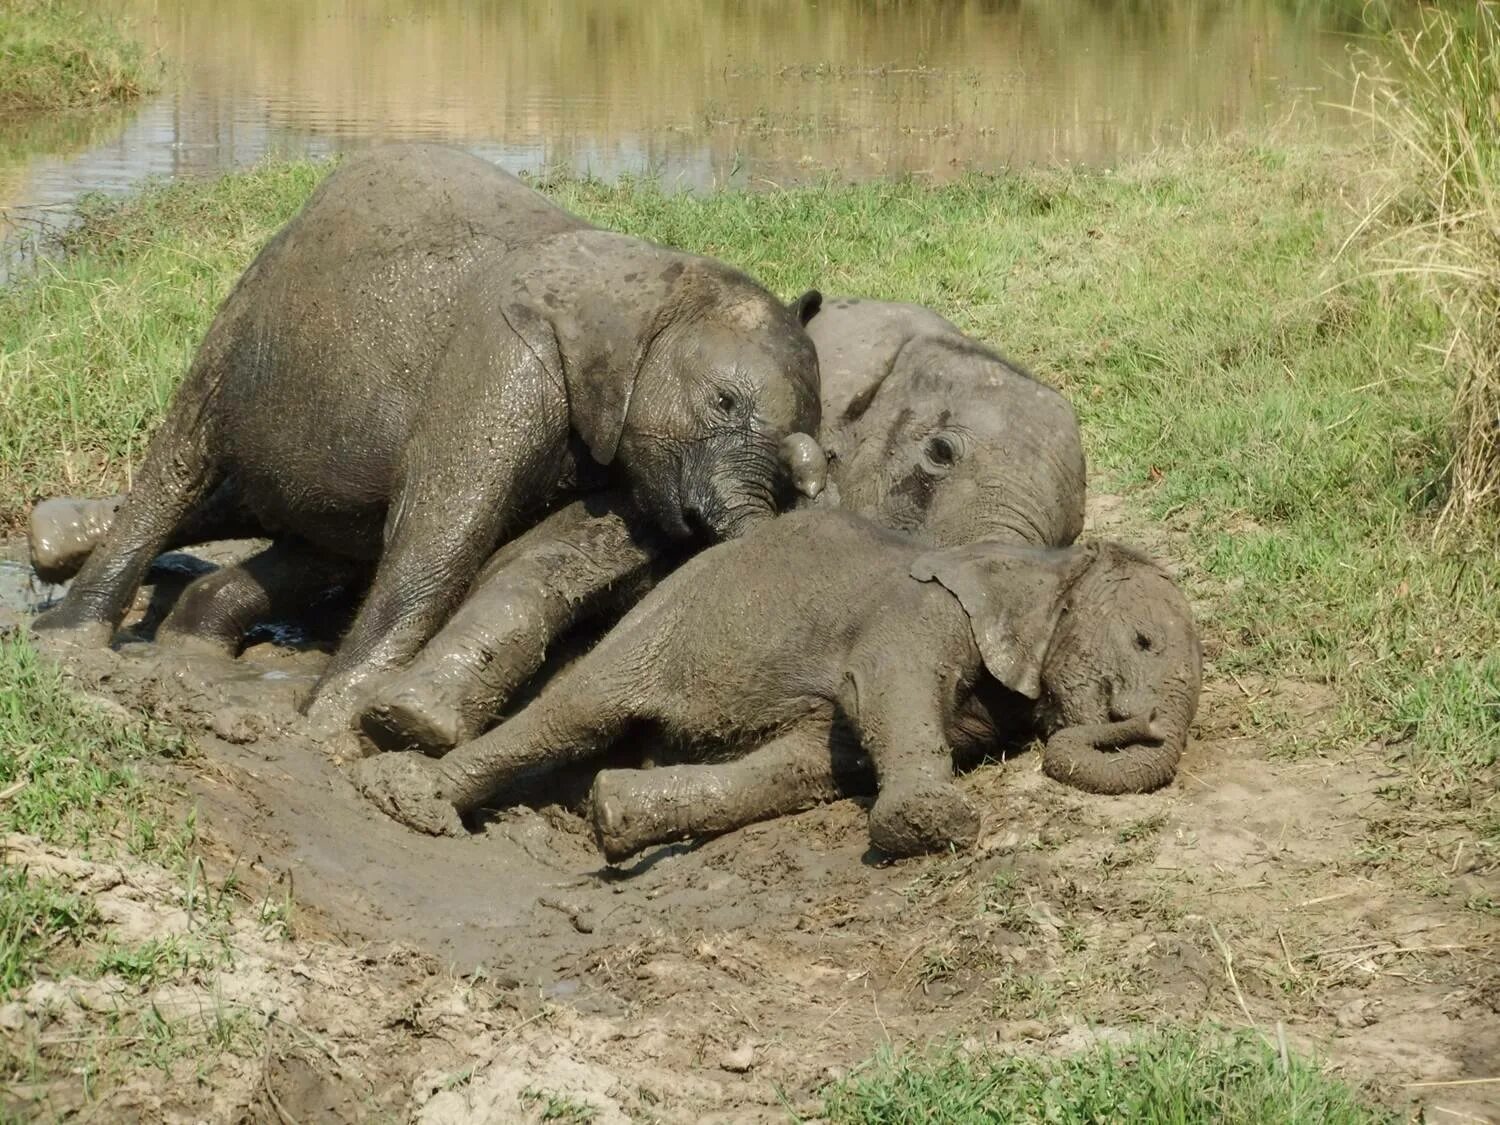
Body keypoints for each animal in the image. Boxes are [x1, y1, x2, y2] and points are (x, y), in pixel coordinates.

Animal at [35, 143, 828, 732]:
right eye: (723, 402)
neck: (657, 281)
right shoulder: (503, 363)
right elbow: (438, 537)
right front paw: (329, 723)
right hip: (247, 314)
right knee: (184, 461)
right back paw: (70, 639)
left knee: (320, 540)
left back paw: (189, 647)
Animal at [354, 510, 1206, 864]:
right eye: (1142, 641)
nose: (1132, 720)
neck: (1044, 565)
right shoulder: (917, 613)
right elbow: (880, 694)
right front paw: (934, 825)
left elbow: (813, 759)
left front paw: (619, 814)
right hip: (666, 615)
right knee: (579, 710)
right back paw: (408, 799)